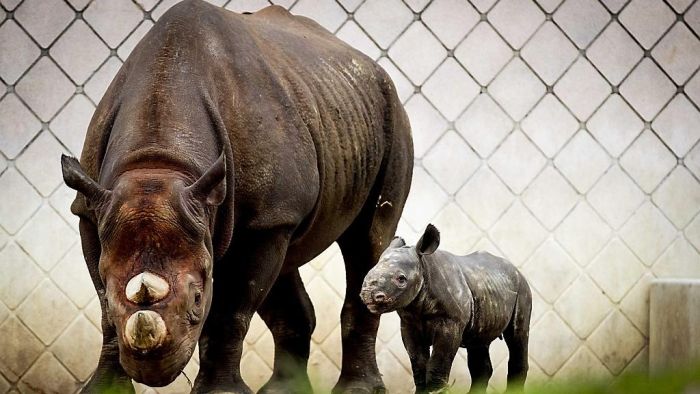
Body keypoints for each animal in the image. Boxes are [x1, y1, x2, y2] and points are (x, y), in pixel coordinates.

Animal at [61, 1, 410, 392]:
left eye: (198, 299)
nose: (152, 371)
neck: (157, 164)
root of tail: (370, 66)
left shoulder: (267, 218)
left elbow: (232, 311)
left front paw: (221, 390)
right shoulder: (91, 209)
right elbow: (104, 307)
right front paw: (103, 388)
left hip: (390, 116)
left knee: (368, 240)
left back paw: (355, 388)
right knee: (288, 265)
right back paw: (282, 390)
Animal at [360, 223, 532, 392]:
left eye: (401, 279)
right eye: (368, 274)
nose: (368, 294)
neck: (424, 268)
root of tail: (516, 270)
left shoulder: (450, 323)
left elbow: (438, 364)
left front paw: (436, 390)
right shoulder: (409, 323)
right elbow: (418, 364)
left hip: (523, 289)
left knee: (517, 335)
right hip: (487, 289)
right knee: (479, 342)